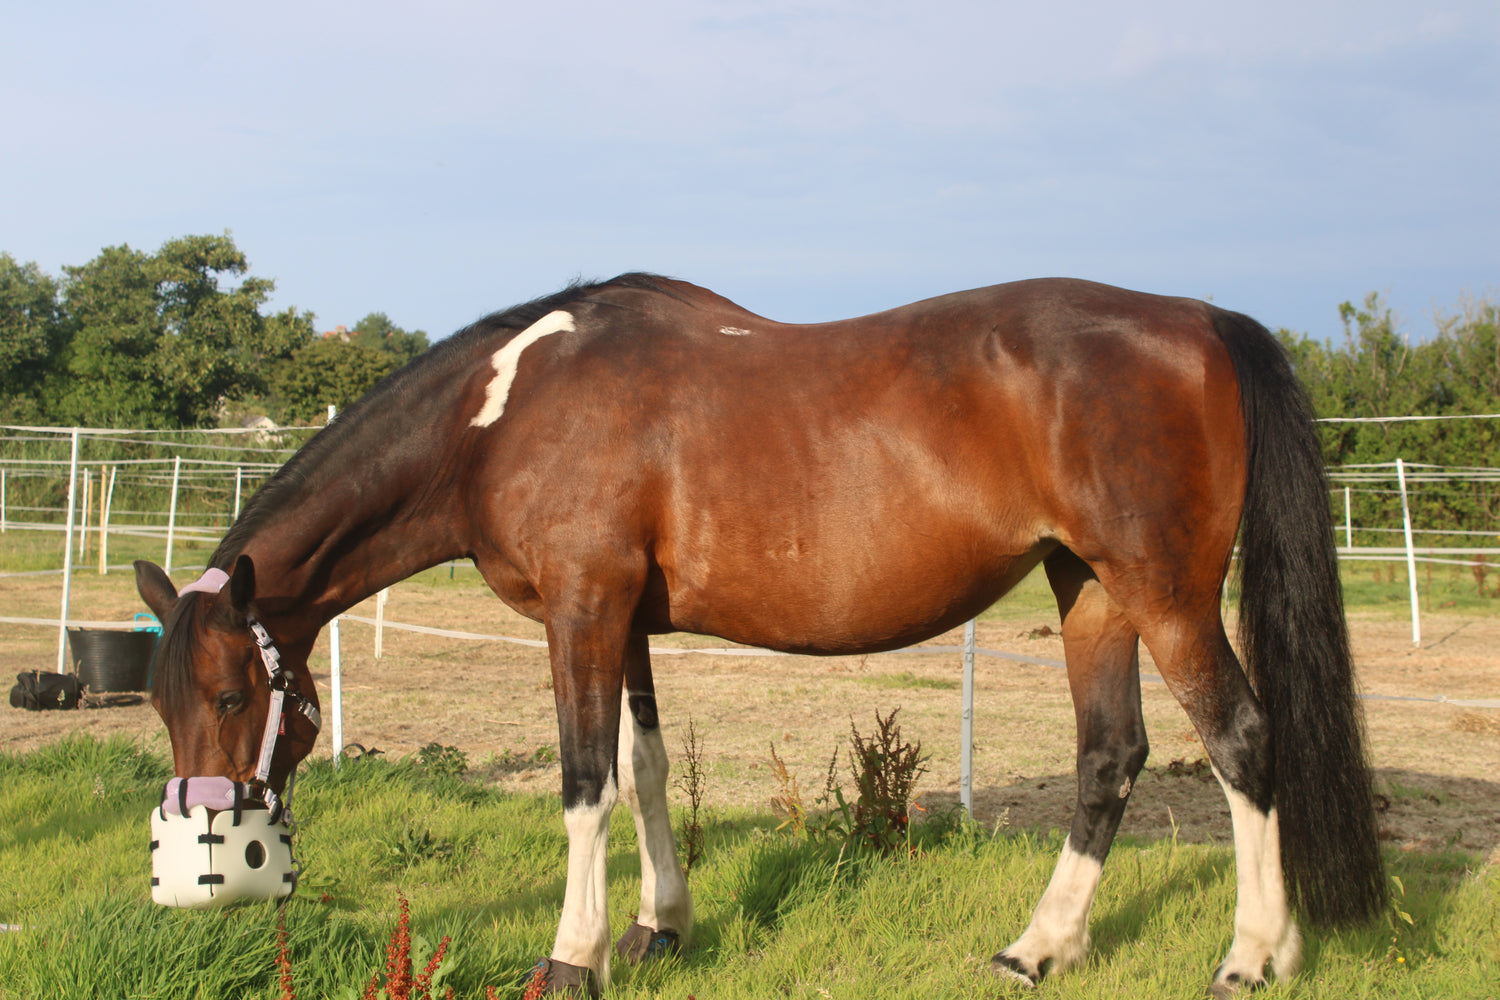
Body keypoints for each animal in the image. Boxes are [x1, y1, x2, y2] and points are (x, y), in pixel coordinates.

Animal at [134, 273, 1385, 997]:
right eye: (160, 703)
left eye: (236, 697)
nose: (203, 868)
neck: (501, 413)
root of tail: (1203, 321)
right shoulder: (624, 622)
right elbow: (642, 768)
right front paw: (659, 928)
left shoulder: (583, 609)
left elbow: (583, 781)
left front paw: (571, 957)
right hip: (1090, 591)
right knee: (1111, 755)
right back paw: (1041, 949)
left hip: (1164, 594)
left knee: (1242, 742)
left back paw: (1253, 957)